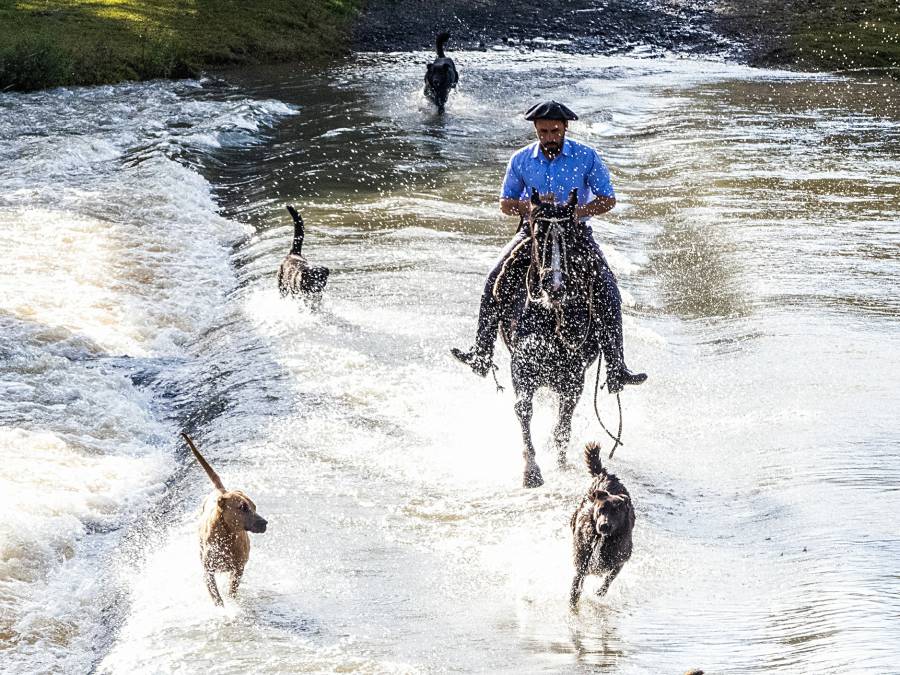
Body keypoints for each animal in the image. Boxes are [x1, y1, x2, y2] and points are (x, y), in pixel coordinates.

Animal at [181, 434, 268, 608]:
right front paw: (221, 607)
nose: (264, 523)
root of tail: (222, 491)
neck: (226, 537)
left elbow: (232, 590)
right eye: (243, 507)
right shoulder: (208, 571)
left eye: (255, 506)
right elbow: (216, 596)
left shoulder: (238, 569)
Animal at [496, 187, 600, 488]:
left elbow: (564, 422)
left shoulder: (574, 377)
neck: (549, 315)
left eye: (569, 234)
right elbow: (523, 409)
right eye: (538, 233)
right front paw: (531, 471)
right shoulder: (522, 366)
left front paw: (561, 463)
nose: (554, 286)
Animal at [568, 440, 632, 608]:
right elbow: (576, 583)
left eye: (616, 512)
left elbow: (609, 578)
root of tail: (605, 475)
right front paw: (573, 602)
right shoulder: (582, 559)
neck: (603, 539)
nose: (604, 525)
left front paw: (600, 593)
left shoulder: (620, 559)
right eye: (601, 509)